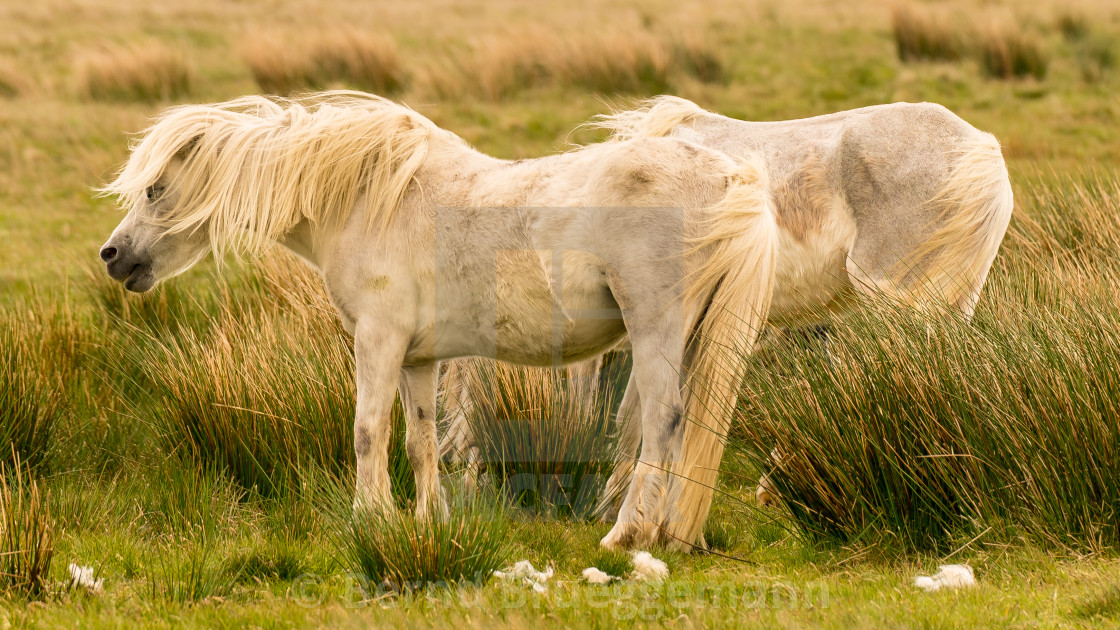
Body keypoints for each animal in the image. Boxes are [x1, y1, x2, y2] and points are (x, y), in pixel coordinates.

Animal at [98, 90, 779, 547]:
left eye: (156, 188)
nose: (113, 256)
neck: (369, 199)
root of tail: (729, 174)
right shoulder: (418, 356)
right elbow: (419, 439)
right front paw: (428, 520)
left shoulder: (378, 341)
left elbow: (368, 431)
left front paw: (369, 519)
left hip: (656, 331)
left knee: (663, 424)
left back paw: (628, 535)